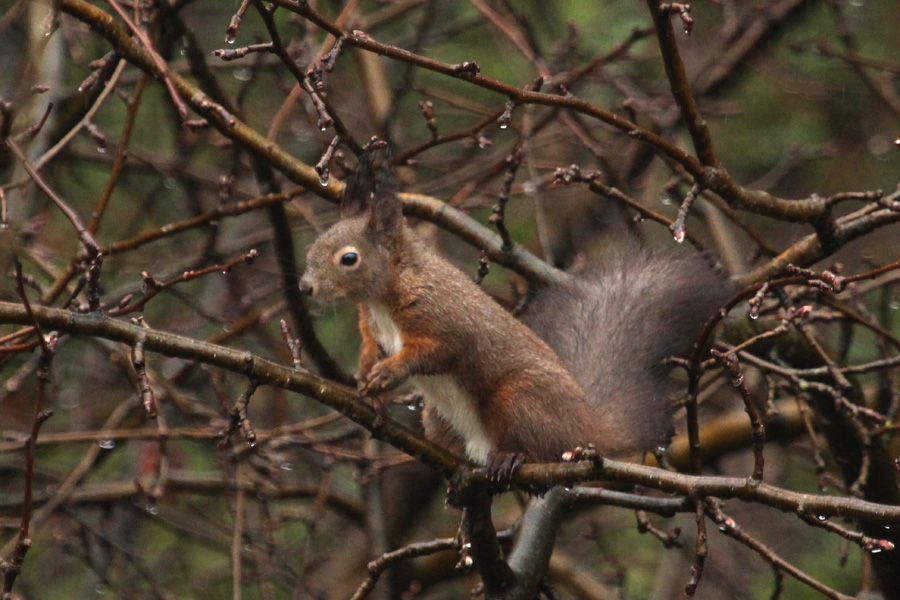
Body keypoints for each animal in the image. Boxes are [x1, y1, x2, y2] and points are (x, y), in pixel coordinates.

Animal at [298, 142, 728, 474]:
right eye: (312, 247)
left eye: (349, 258)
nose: (305, 287)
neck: (383, 298)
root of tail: (584, 431)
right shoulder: (372, 325)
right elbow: (372, 347)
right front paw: (364, 376)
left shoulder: (444, 318)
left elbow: (437, 351)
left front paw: (389, 372)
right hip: (438, 418)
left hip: (521, 399)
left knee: (538, 447)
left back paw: (512, 458)